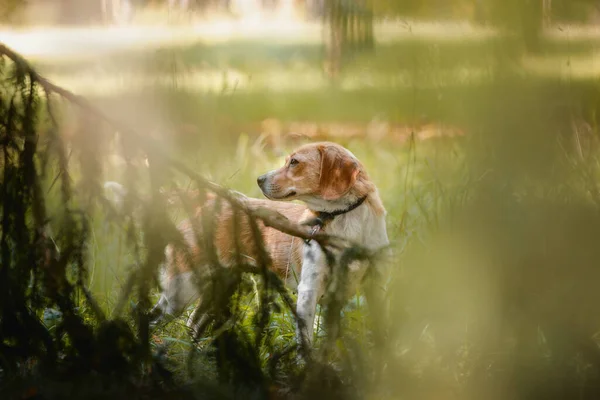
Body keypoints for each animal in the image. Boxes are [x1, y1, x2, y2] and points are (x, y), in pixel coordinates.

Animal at [109, 142, 390, 346]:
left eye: (295, 162)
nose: (259, 179)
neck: (344, 219)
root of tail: (208, 202)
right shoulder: (309, 292)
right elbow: (307, 345)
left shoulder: (370, 289)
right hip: (180, 291)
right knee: (145, 318)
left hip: (219, 288)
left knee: (192, 324)